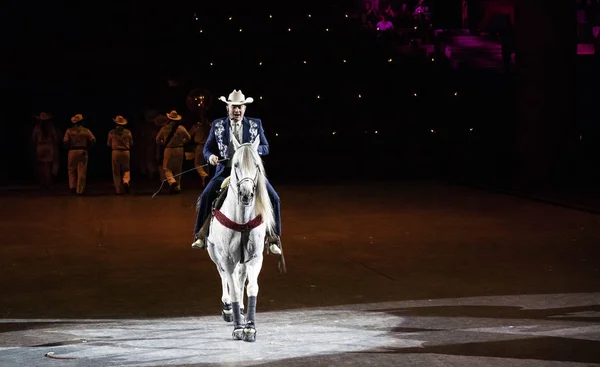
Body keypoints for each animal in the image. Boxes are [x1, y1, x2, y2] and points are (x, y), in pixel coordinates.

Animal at [205, 137, 274, 344]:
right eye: (236, 165)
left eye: (257, 165)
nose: (246, 194)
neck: (242, 220)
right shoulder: (227, 258)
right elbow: (233, 288)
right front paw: (237, 327)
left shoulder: (255, 258)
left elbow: (251, 287)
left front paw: (249, 327)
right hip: (215, 253)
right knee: (224, 276)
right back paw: (229, 309)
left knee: (240, 277)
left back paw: (242, 311)